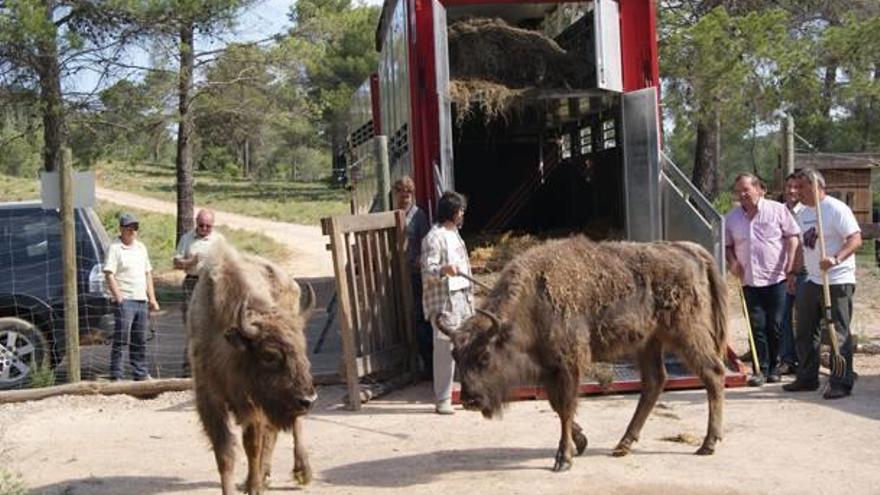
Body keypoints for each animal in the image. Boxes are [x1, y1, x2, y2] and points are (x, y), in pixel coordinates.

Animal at [187, 239, 318, 492]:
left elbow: (252, 446)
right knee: (273, 432)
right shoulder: (210, 399)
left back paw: (301, 472)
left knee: (291, 425)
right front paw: (239, 486)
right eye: (269, 356)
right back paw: (262, 475)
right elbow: (225, 452)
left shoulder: (253, 403)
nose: (308, 399)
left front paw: (255, 487)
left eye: (302, 350)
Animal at [434, 236, 728, 472]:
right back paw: (623, 445)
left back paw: (708, 444)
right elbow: (559, 407)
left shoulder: (568, 365)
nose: (470, 400)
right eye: (456, 357)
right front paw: (581, 442)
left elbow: (565, 408)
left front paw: (563, 459)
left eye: (484, 356)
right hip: (649, 342)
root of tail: (689, 249)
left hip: (687, 333)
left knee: (713, 373)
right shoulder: (550, 369)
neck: (533, 300)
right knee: (654, 383)